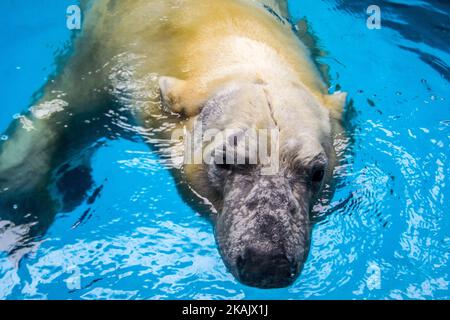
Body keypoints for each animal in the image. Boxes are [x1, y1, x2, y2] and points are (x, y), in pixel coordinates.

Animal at [0, 0, 344, 288]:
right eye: (225, 160)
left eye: (316, 172)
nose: (267, 263)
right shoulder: (106, 58)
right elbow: (59, 109)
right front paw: (19, 218)